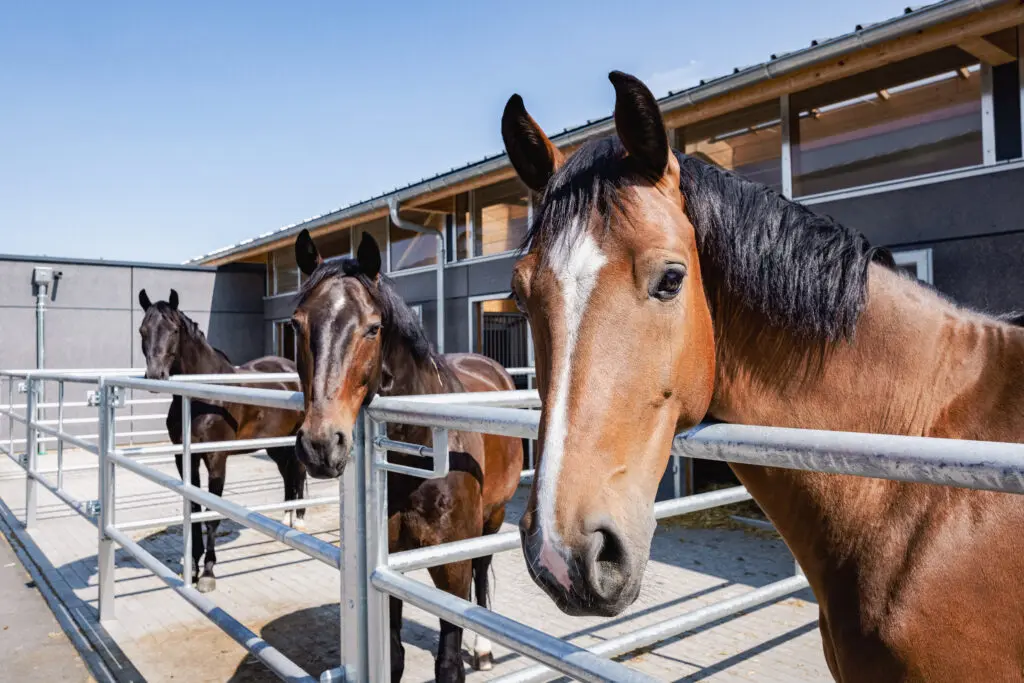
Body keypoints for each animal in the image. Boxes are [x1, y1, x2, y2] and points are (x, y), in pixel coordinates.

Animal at [138, 289, 307, 593]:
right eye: (142, 330)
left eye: (174, 330)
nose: (156, 374)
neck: (204, 397)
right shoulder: (185, 459)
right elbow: (194, 510)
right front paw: (192, 567)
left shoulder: (217, 459)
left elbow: (211, 515)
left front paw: (207, 573)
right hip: (275, 445)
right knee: (288, 475)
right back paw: (285, 518)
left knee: (298, 473)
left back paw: (297, 520)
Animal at [289, 231, 523, 683]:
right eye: (296, 324)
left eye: (373, 328)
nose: (321, 445)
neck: (419, 460)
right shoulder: (387, 561)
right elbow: (393, 656)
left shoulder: (452, 568)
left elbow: (448, 662)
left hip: (493, 518)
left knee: (482, 573)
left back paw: (483, 649)